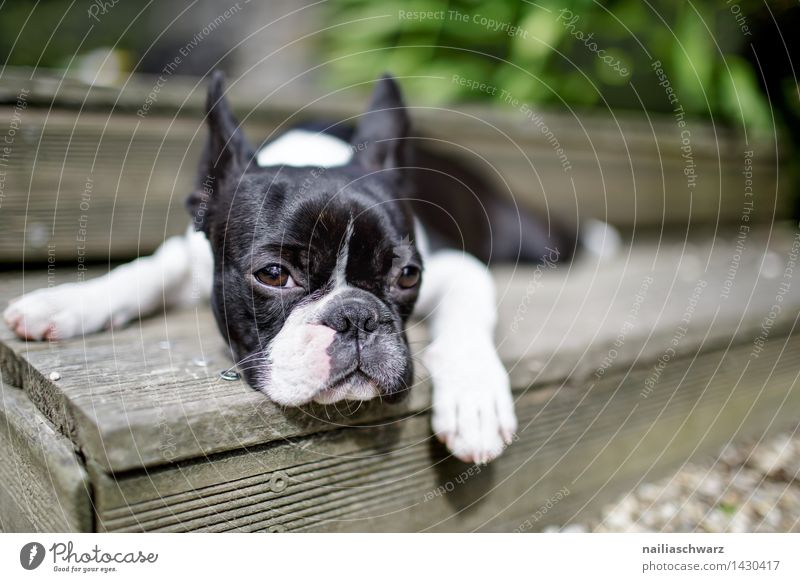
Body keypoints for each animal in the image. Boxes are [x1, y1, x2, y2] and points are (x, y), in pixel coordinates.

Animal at [6, 73, 600, 466]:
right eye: (273, 275)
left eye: (407, 275)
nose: (357, 317)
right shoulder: (191, 252)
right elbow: (145, 269)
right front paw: (66, 301)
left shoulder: (457, 266)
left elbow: (467, 322)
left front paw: (475, 398)